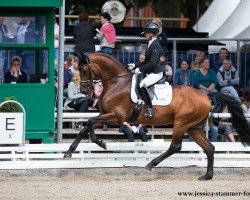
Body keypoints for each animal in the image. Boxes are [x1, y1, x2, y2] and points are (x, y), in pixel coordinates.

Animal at [64, 52, 250, 180]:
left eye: (83, 69)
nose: (84, 90)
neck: (117, 82)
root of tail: (206, 96)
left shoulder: (116, 117)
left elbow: (89, 121)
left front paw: (100, 142)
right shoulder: (106, 115)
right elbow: (86, 127)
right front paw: (69, 152)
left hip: (181, 123)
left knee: (175, 147)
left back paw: (150, 164)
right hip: (194, 128)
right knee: (209, 148)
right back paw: (207, 176)